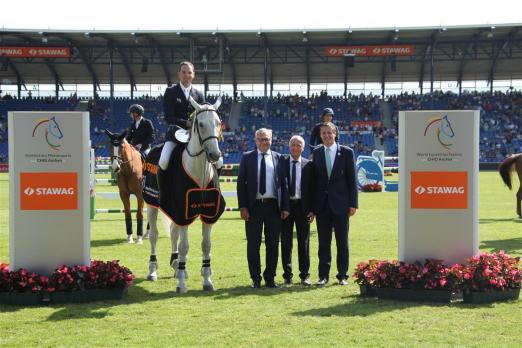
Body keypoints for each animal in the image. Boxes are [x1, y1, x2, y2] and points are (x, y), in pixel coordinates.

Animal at [145, 98, 222, 294]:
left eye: (218, 123)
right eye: (200, 124)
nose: (215, 155)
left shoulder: (208, 214)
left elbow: (206, 245)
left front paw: (207, 280)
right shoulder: (183, 212)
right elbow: (185, 246)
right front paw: (181, 284)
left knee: (173, 233)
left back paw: (176, 264)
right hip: (151, 204)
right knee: (154, 235)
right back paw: (153, 270)